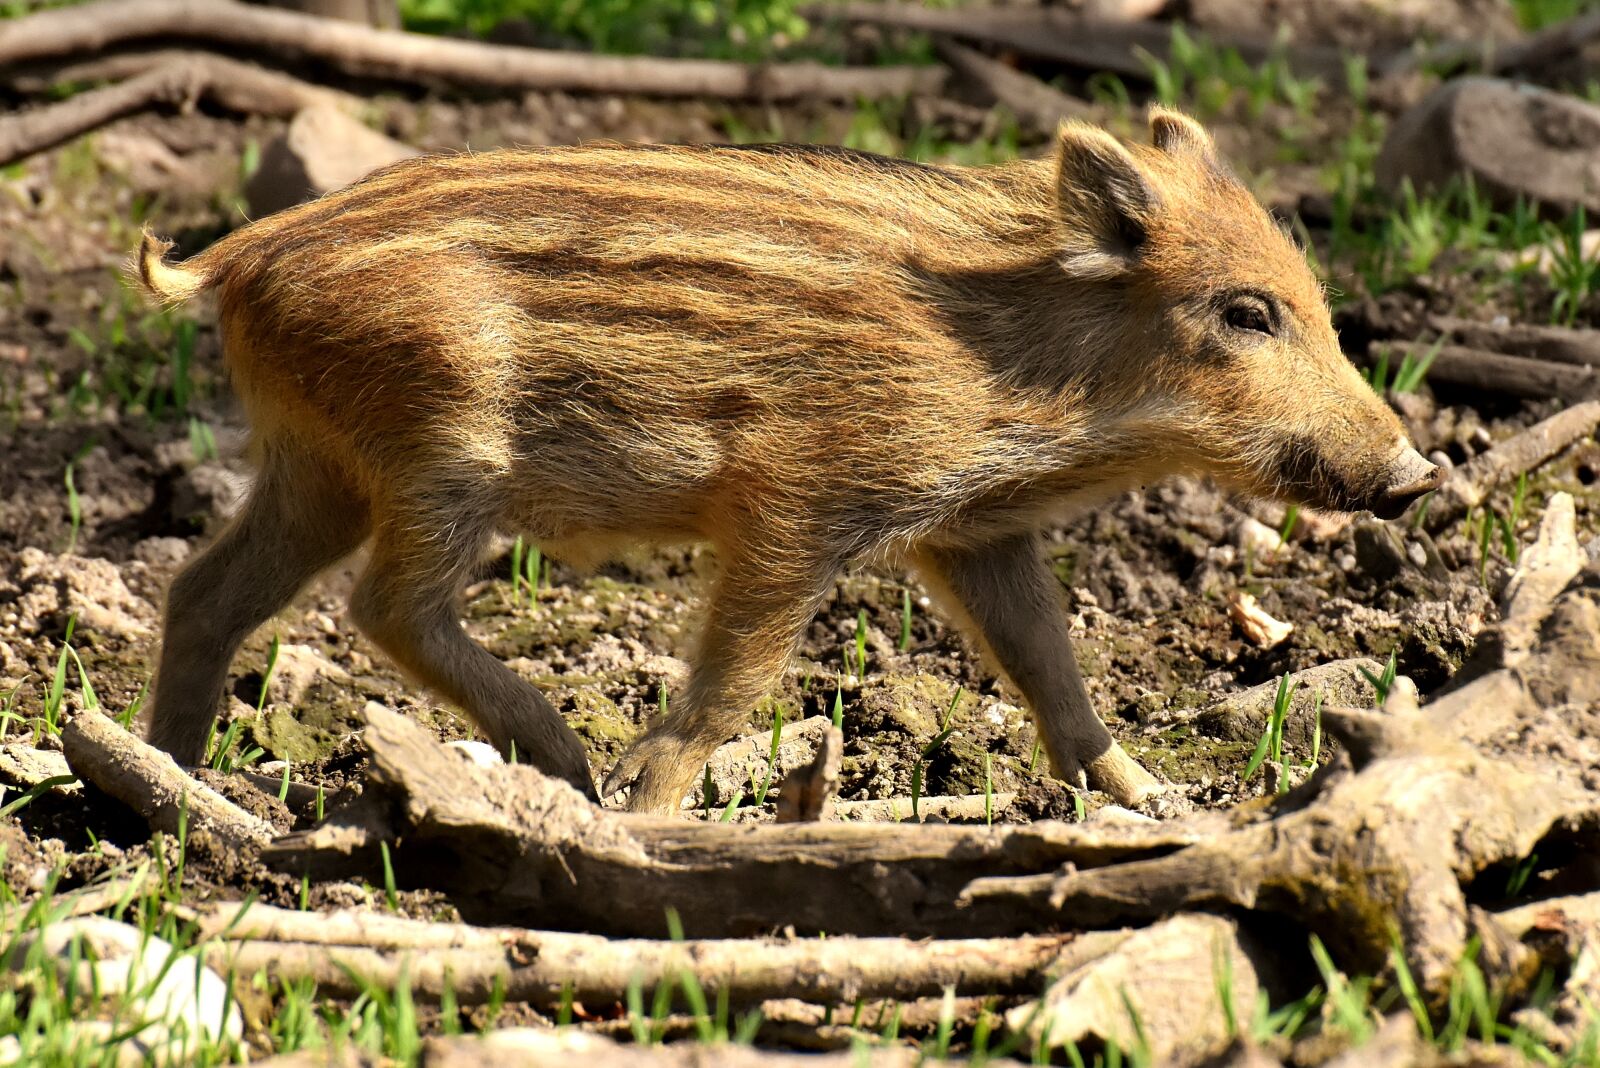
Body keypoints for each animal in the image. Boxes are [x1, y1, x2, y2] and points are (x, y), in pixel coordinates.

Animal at [133, 108, 1440, 814]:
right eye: (1247, 313)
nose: (1418, 474)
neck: (1024, 367)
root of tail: (231, 260)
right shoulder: (799, 499)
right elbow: (733, 685)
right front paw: (651, 812)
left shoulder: (976, 528)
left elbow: (1052, 670)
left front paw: (1161, 806)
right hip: (438, 450)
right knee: (386, 609)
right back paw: (565, 767)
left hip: (319, 464)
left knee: (206, 592)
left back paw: (174, 785)